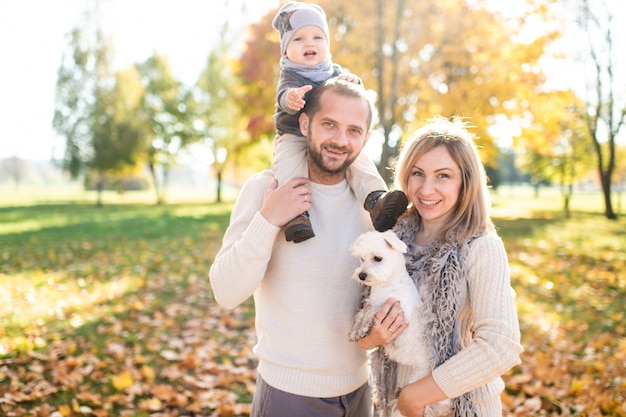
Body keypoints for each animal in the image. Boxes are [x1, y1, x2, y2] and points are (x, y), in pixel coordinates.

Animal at [346, 229, 448, 416]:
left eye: (377, 258)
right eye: (362, 259)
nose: (361, 275)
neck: (386, 286)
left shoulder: (396, 308)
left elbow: (371, 311)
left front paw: (361, 329)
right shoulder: (371, 302)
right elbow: (361, 313)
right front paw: (355, 330)